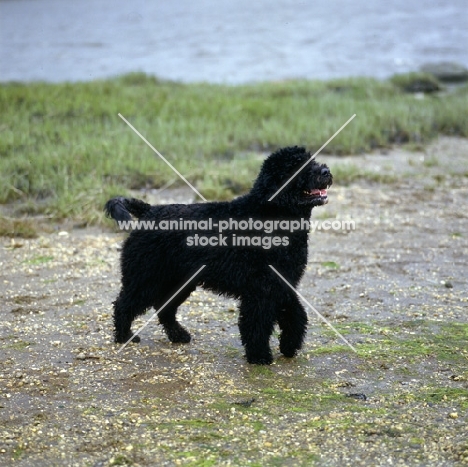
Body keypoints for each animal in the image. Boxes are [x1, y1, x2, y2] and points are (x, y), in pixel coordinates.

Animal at [106, 146, 332, 366]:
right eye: (296, 166)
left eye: (311, 160)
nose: (325, 171)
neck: (271, 214)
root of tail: (148, 211)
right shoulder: (261, 289)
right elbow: (257, 323)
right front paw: (259, 356)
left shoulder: (282, 284)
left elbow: (295, 315)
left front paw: (289, 345)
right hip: (145, 279)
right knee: (123, 305)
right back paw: (125, 337)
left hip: (177, 282)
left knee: (164, 309)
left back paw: (178, 335)